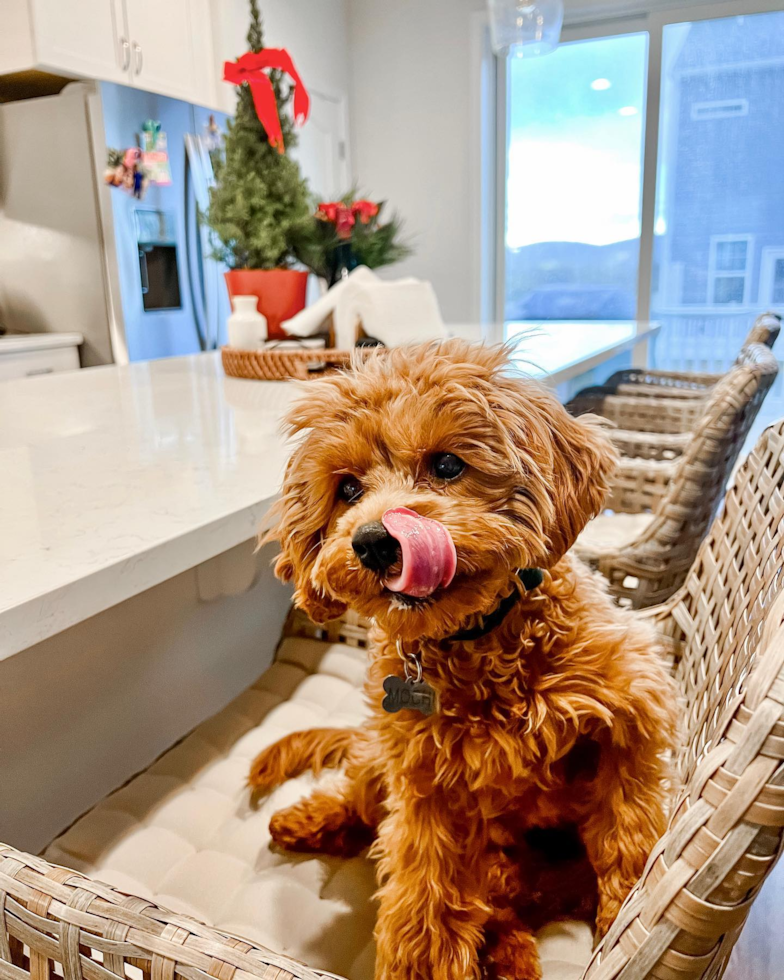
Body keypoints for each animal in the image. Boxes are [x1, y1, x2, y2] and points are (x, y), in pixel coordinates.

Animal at [253, 342, 680, 980]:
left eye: (448, 465)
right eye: (348, 489)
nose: (375, 542)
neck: (479, 638)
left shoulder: (631, 707)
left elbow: (628, 828)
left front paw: (624, 914)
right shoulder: (426, 782)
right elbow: (424, 891)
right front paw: (423, 962)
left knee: (509, 906)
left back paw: (513, 951)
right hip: (382, 758)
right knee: (362, 798)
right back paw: (309, 821)